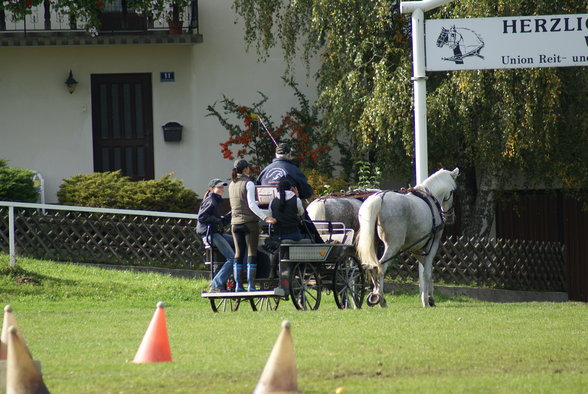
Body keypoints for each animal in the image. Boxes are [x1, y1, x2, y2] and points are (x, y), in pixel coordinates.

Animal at [354, 169, 460, 308]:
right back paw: (381, 299)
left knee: (372, 266)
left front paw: (430, 297)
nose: (450, 217)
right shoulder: (432, 245)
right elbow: (427, 272)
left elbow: (427, 269)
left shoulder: (416, 249)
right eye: (453, 191)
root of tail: (380, 198)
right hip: (393, 246)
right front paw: (426, 301)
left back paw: (375, 295)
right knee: (381, 266)